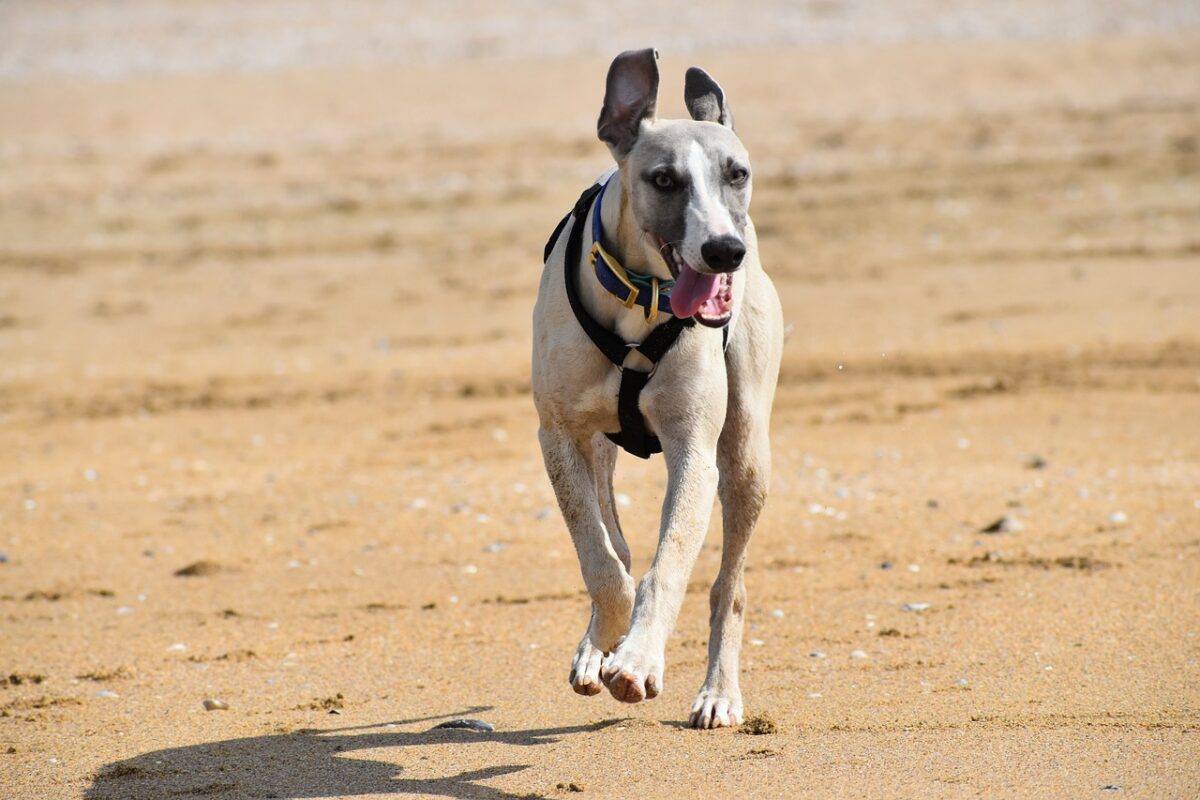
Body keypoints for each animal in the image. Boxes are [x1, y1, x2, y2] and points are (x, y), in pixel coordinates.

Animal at [530, 47, 782, 729]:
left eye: (738, 173)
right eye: (665, 180)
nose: (725, 251)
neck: (639, 300)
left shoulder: (694, 448)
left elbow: (667, 565)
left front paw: (638, 661)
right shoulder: (560, 436)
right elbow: (603, 561)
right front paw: (605, 642)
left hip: (746, 454)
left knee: (730, 586)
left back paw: (718, 692)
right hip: (600, 449)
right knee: (613, 539)